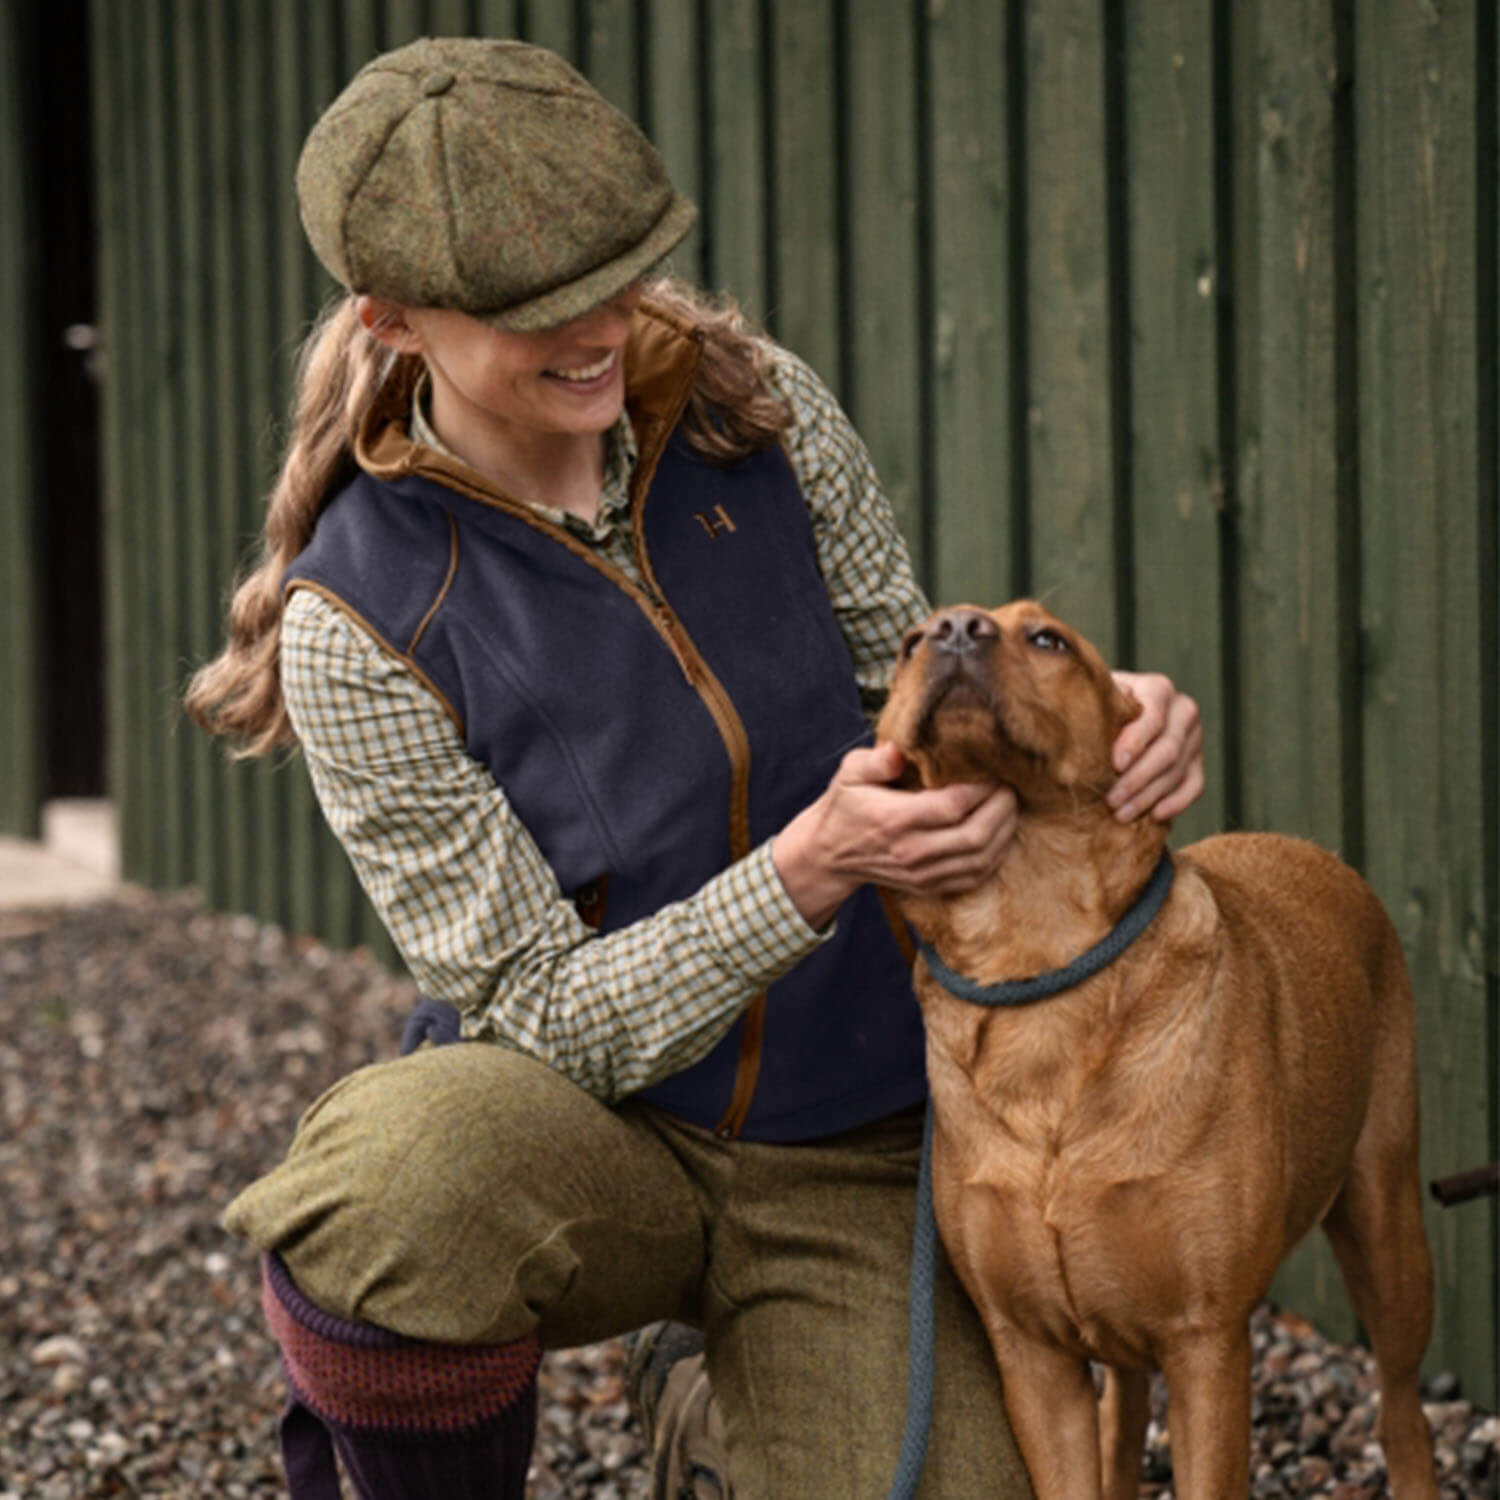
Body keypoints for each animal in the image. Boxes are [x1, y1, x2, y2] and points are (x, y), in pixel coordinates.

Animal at [876, 597, 1440, 1500]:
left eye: (1048, 639)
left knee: (1401, 1404)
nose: (954, 625)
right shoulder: (1031, 1354)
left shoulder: (1207, 1340)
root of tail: (1310, 848)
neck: (1040, 970)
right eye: (905, 646)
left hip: (1386, 1227)